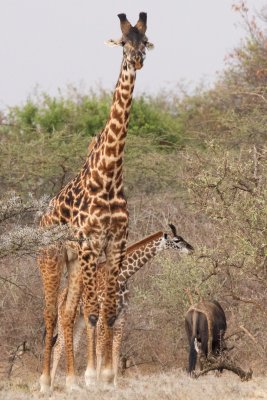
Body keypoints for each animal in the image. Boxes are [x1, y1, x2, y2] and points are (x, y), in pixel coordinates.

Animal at [38, 13, 154, 394]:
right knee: (50, 314)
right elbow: (91, 312)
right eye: (123, 43)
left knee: (66, 311)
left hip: (74, 262)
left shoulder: (114, 244)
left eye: (145, 42)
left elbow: (108, 313)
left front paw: (103, 376)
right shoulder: (91, 243)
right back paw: (46, 382)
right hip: (51, 258)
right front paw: (92, 376)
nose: (137, 60)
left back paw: (70, 380)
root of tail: (41, 221)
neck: (110, 174)